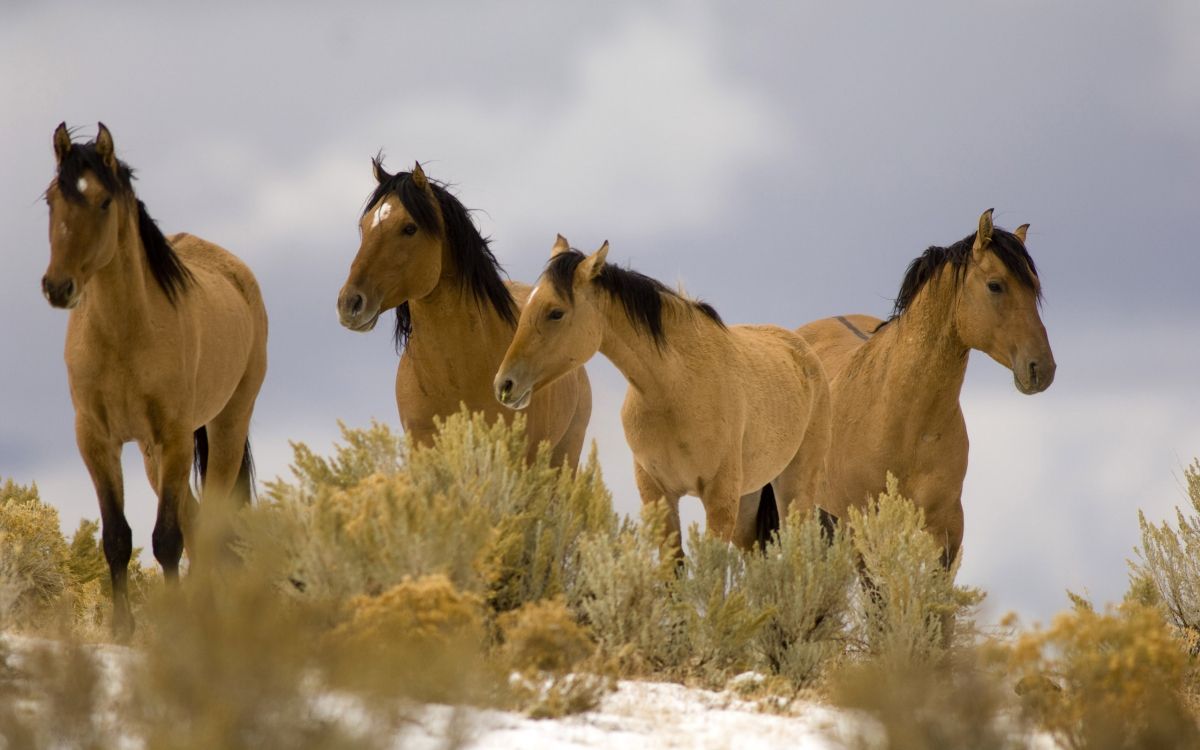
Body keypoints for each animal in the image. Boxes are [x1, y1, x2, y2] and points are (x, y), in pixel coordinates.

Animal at [42, 123, 268, 638]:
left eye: (104, 201)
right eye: (51, 198)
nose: (58, 287)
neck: (125, 334)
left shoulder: (174, 436)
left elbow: (167, 539)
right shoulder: (97, 440)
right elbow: (117, 537)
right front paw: (122, 629)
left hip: (224, 427)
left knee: (209, 526)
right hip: (151, 454)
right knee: (196, 519)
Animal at [494, 236, 831, 554]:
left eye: (556, 313)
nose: (504, 384)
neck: (676, 389)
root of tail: (805, 353)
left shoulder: (719, 499)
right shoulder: (658, 494)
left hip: (794, 489)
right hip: (749, 498)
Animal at [794, 209, 1055, 568]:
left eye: (1035, 287)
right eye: (995, 285)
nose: (1042, 368)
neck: (902, 420)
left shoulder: (946, 532)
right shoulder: (863, 529)